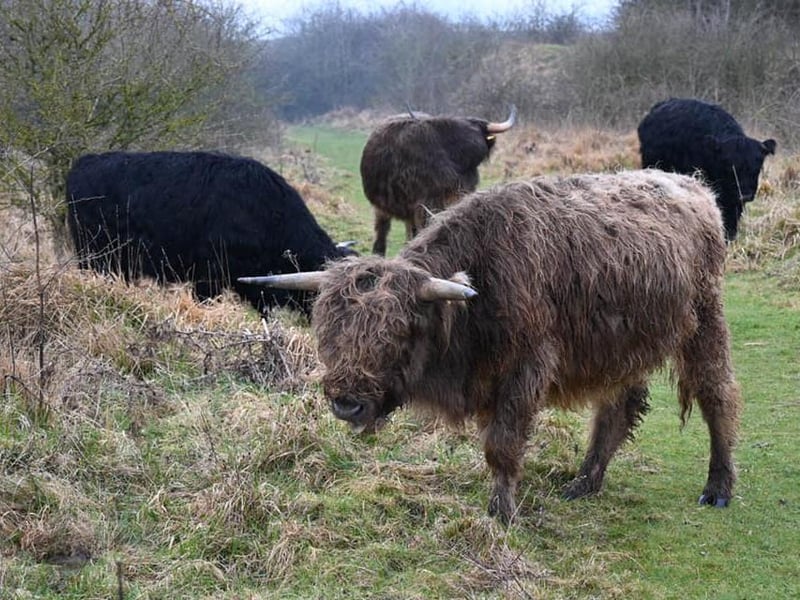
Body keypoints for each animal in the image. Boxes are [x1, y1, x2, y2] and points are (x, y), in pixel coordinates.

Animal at [239, 170, 741, 524]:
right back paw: (584, 482)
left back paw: (718, 488)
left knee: (717, 394)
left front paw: (502, 513)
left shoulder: (525, 370)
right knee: (618, 408)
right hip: (621, 347)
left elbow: (502, 445)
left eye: (396, 333)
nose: (346, 404)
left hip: (704, 321)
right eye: (327, 332)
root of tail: (693, 186)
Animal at [360, 105, 517, 256]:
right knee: (382, 228)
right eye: (458, 134)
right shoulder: (425, 203)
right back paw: (378, 252)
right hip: (381, 206)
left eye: (478, 132)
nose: (477, 146)